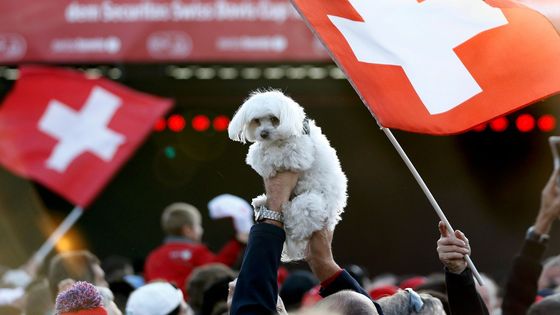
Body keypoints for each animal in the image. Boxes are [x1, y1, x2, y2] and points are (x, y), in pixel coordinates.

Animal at [228, 89, 346, 262]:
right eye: (257, 121)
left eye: (274, 119)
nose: (263, 134)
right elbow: (258, 151)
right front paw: (260, 157)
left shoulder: (297, 155)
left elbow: (275, 154)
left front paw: (267, 164)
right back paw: (262, 202)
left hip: (312, 203)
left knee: (297, 222)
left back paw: (286, 211)